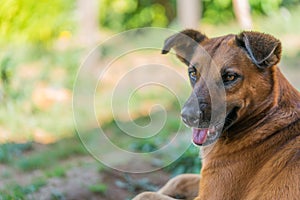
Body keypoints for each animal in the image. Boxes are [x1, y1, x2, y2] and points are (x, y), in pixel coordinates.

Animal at [133, 30, 300, 200]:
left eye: (230, 76)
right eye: (193, 73)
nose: (187, 117)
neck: (265, 118)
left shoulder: (210, 196)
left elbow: (145, 194)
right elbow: (179, 179)